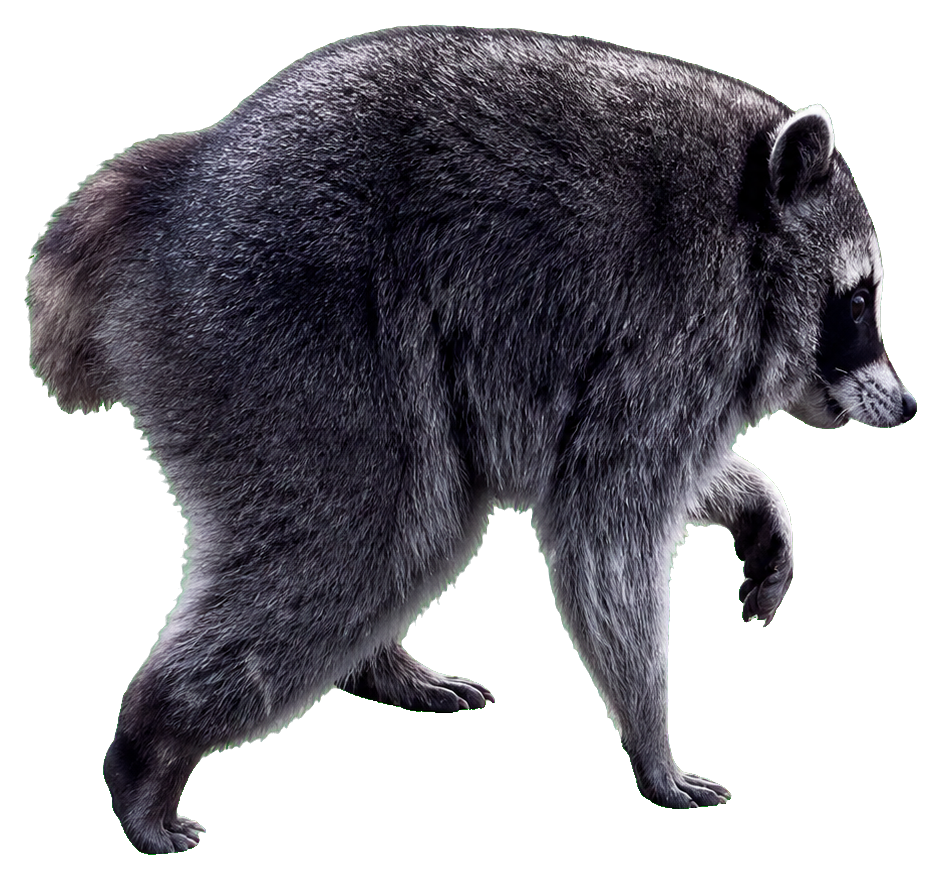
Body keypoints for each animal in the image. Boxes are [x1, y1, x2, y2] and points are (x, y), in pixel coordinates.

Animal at [26, 26, 915, 853]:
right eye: (858, 300)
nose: (907, 406)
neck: (749, 224)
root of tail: (179, 182)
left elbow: (643, 482)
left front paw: (757, 502)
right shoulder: (671, 329)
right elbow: (605, 529)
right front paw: (649, 739)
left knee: (394, 533)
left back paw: (373, 664)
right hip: (286, 325)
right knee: (367, 534)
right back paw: (152, 748)